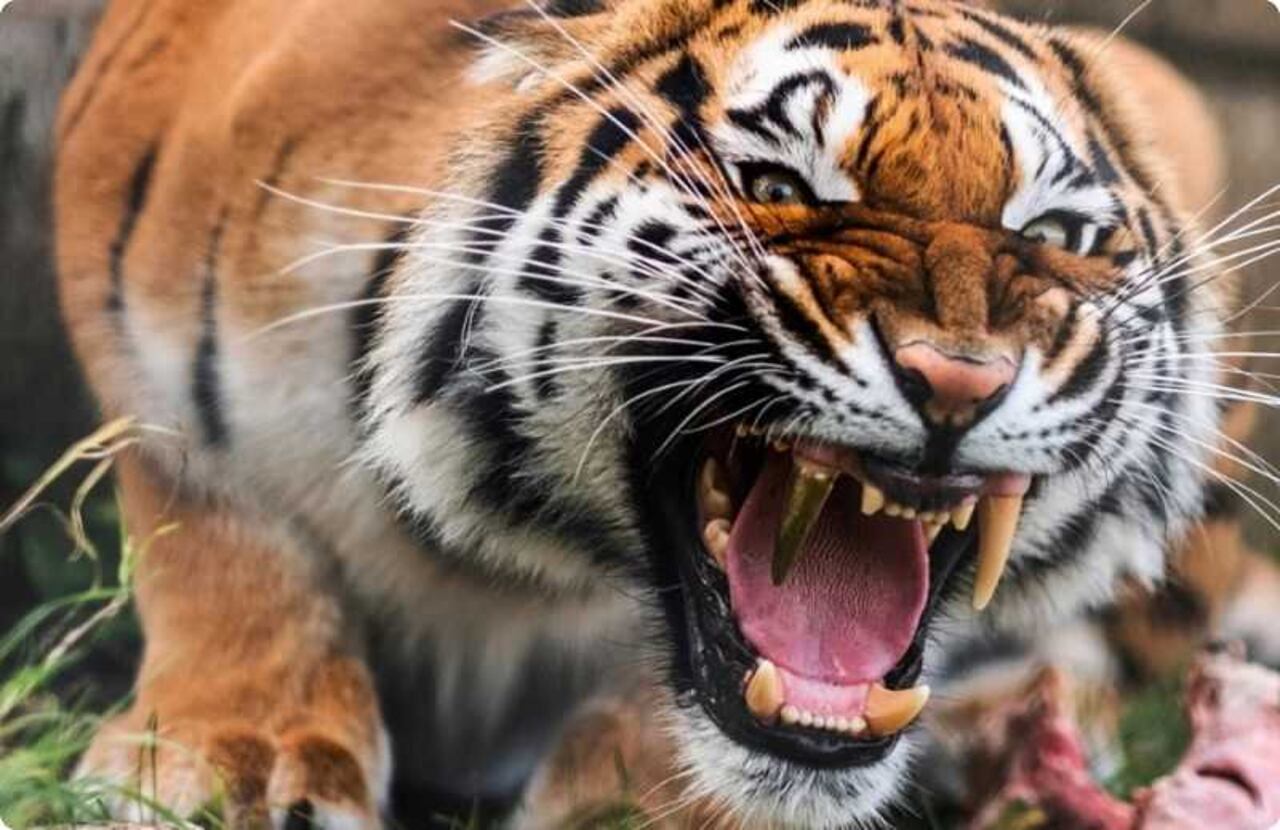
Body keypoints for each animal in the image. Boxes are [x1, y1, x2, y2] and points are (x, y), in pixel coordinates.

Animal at [54, 0, 1240, 826]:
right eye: (779, 187)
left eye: (1052, 234)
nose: (958, 380)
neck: (480, 568)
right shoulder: (135, 300)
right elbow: (222, 535)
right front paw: (238, 762)